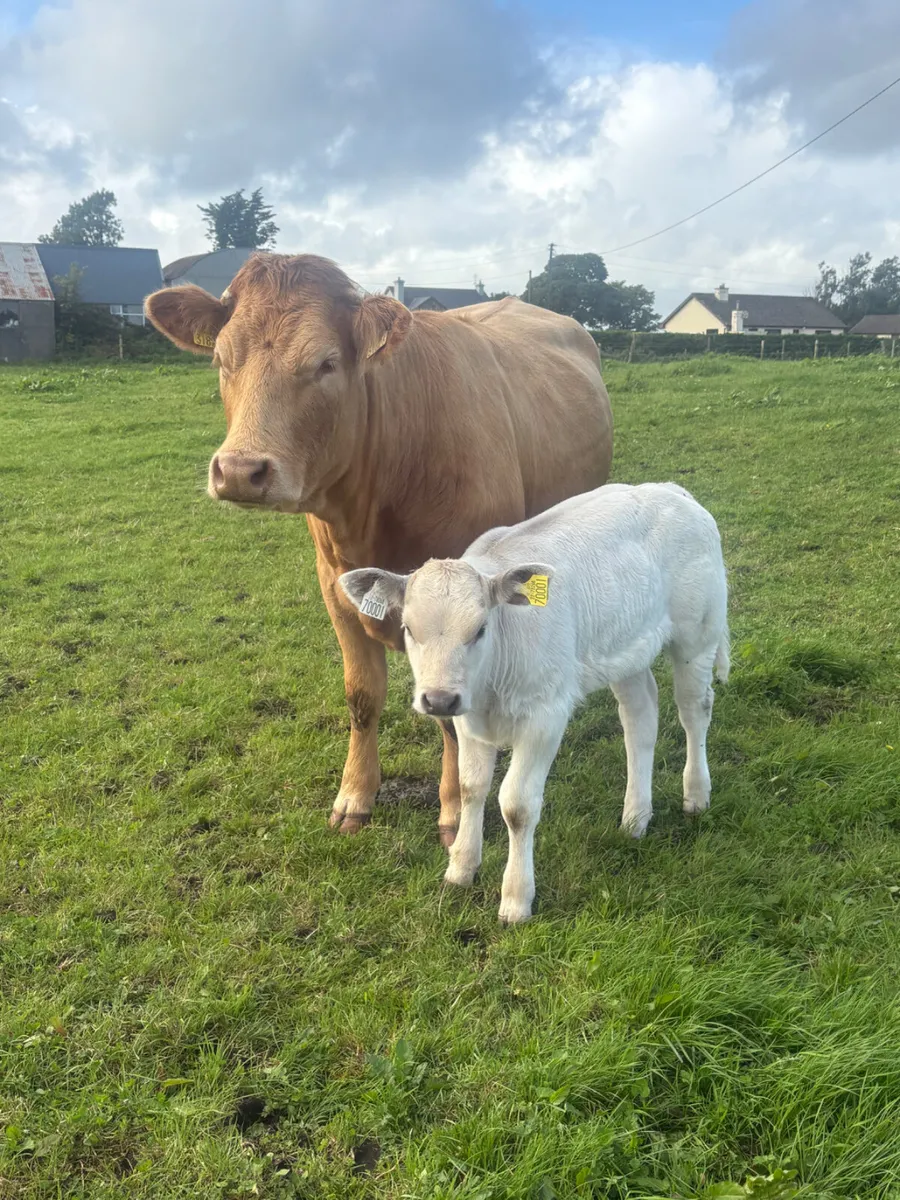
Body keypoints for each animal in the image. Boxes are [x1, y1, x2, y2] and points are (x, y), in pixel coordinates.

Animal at [145, 253, 612, 845]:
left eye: (326, 363)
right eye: (222, 360)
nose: (239, 471)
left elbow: (452, 719)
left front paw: (454, 812)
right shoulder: (335, 587)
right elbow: (362, 696)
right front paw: (354, 797)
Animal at [340, 483, 729, 922]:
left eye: (481, 629)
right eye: (407, 628)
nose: (438, 698)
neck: (491, 688)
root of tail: (671, 490)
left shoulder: (545, 716)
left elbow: (517, 805)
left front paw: (515, 899)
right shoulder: (467, 717)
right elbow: (471, 787)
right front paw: (460, 867)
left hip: (697, 633)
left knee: (694, 710)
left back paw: (696, 795)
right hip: (627, 647)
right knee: (640, 717)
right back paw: (634, 818)